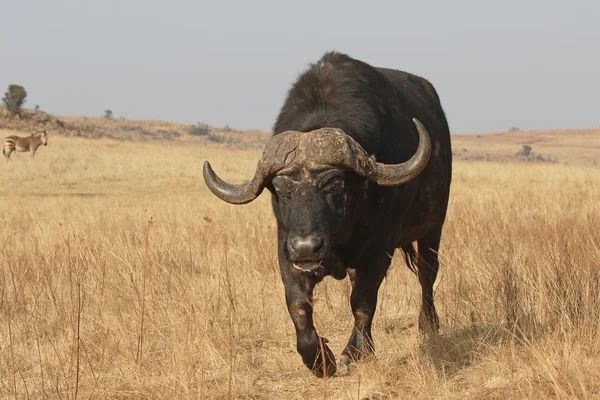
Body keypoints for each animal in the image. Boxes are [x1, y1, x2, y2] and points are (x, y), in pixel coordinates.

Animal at [204, 51, 452, 376]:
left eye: (334, 184)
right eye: (281, 189)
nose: (307, 247)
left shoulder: (379, 250)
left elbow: (362, 301)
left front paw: (351, 354)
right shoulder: (286, 250)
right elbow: (298, 305)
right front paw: (320, 359)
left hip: (433, 227)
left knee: (427, 274)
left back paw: (428, 324)